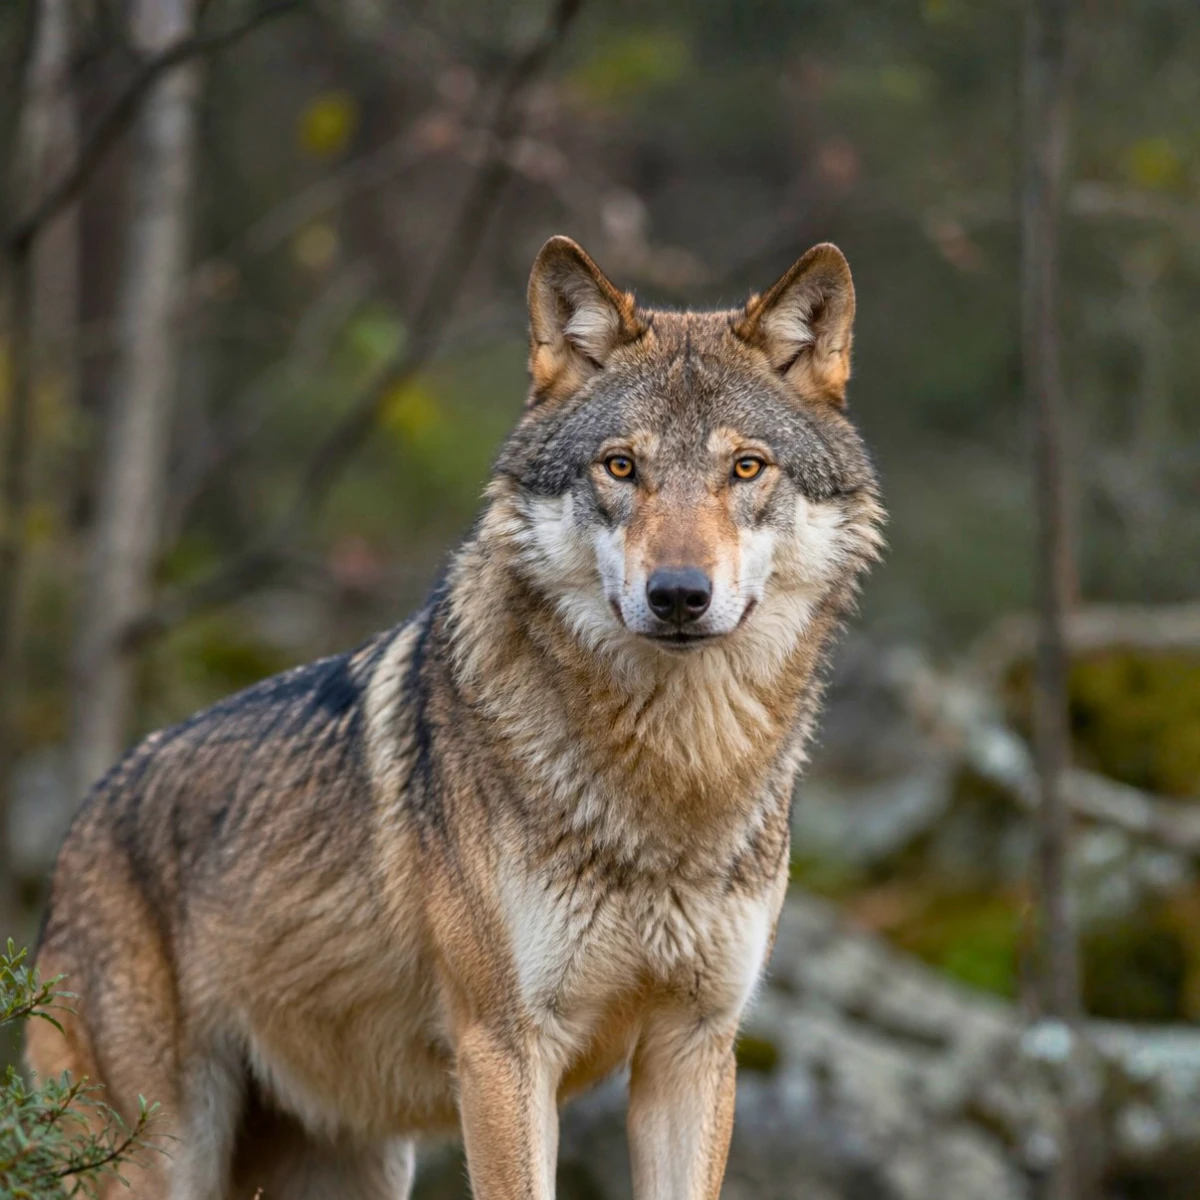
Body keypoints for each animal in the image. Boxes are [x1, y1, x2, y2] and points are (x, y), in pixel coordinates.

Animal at [28, 235, 884, 1200]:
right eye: (621, 467)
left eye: (746, 468)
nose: (677, 595)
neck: (672, 775)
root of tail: (79, 827)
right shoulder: (503, 1051)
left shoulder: (694, 1049)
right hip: (158, 1159)